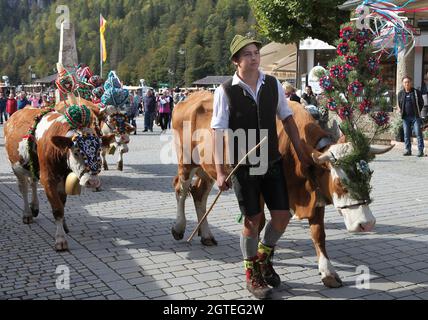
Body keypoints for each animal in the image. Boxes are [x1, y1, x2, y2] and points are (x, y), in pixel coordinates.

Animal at [3, 109, 113, 251]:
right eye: (76, 152)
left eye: (99, 151)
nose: (92, 182)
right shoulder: (48, 179)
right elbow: (57, 208)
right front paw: (60, 240)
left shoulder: (63, 179)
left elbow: (62, 203)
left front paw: (64, 226)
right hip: (16, 168)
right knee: (24, 189)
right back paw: (27, 214)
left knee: (33, 182)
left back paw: (34, 207)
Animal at [171, 90, 394, 288]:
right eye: (340, 182)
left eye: (368, 174)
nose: (367, 224)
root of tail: (189, 98)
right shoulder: (262, 194)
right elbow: (259, 226)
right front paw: (261, 270)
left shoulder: (312, 194)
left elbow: (318, 234)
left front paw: (328, 272)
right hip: (186, 161)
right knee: (181, 189)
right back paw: (179, 228)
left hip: (209, 169)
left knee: (199, 194)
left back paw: (206, 235)